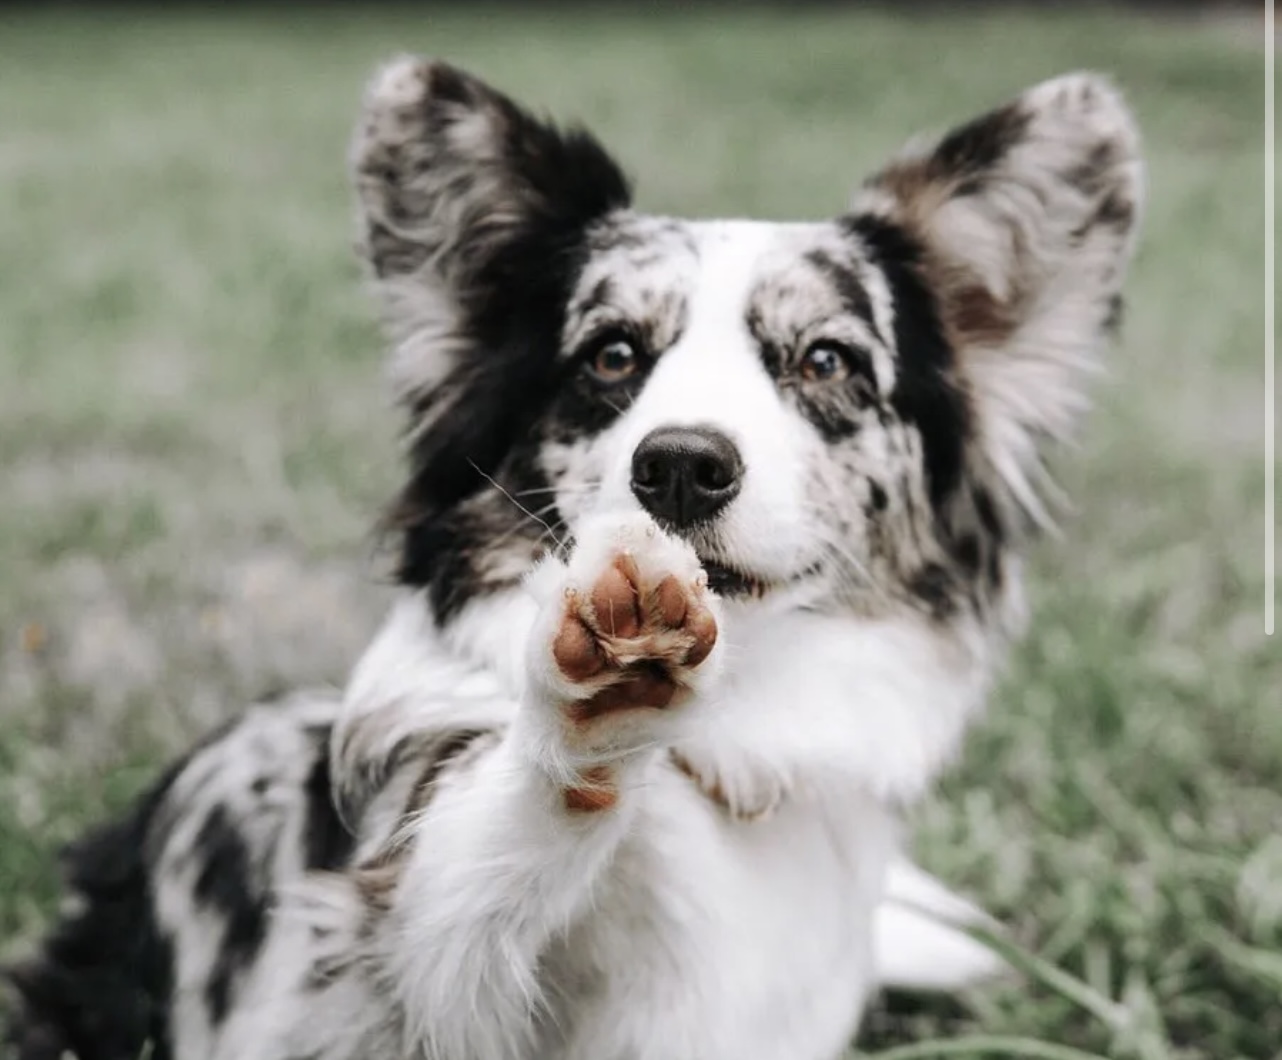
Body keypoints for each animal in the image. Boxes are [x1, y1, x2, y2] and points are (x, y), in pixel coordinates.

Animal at [6, 56, 1142, 1060]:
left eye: (827, 361)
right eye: (612, 355)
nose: (680, 466)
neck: (730, 729)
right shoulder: (373, 969)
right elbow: (479, 882)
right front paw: (593, 709)